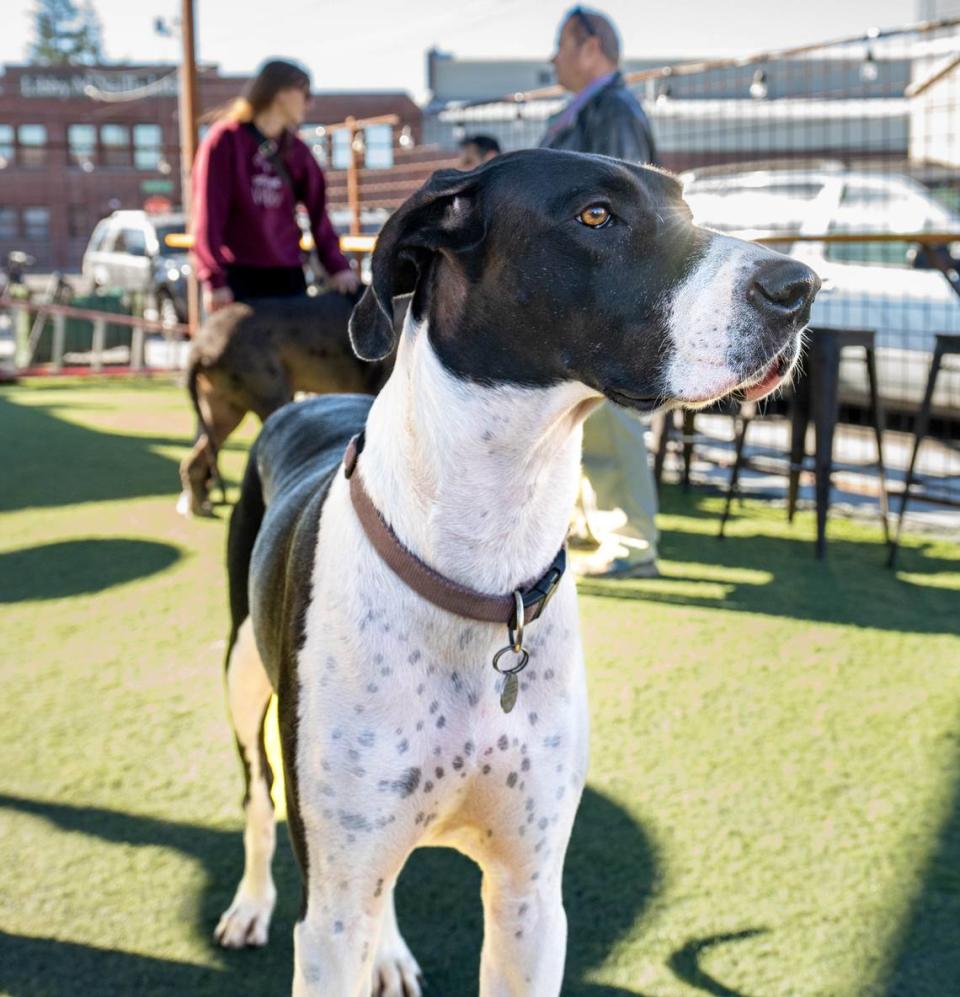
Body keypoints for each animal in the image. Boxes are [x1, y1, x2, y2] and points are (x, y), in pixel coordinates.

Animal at [218, 150, 816, 996]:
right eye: (596, 215)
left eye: (686, 207)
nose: (801, 287)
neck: (486, 564)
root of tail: (306, 402)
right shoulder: (333, 912)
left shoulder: (530, 895)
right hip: (245, 683)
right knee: (256, 798)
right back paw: (250, 903)